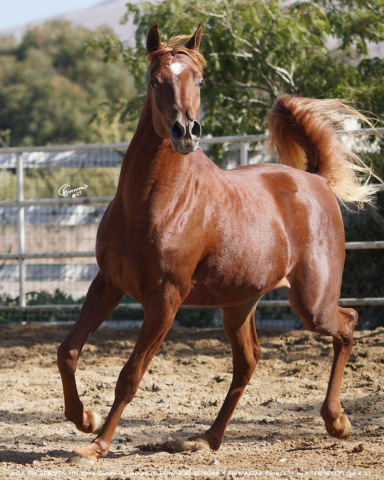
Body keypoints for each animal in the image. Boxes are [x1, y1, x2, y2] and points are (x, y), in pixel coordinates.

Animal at [57, 24, 378, 464]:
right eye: (154, 80)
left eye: (199, 80)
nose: (186, 132)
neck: (152, 203)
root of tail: (316, 180)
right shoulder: (108, 283)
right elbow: (68, 351)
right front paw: (84, 419)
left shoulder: (166, 299)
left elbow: (130, 374)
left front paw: (96, 444)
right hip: (238, 303)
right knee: (249, 361)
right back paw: (206, 438)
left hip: (311, 302)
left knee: (347, 323)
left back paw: (337, 422)